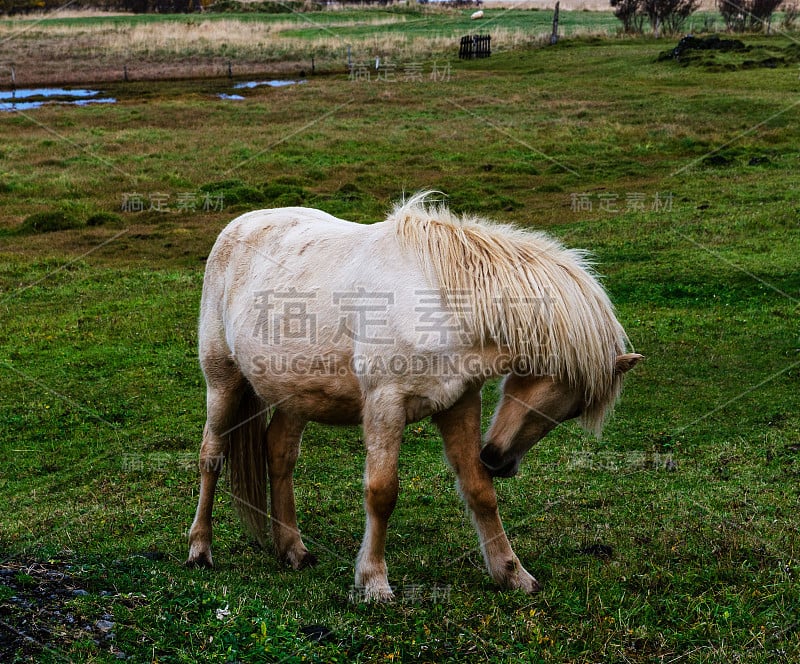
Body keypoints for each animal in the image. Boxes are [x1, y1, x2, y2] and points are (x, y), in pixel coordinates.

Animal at [188, 192, 644, 600]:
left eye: (571, 411)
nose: (499, 460)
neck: (440, 303)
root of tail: (237, 227)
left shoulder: (459, 403)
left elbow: (480, 492)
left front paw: (512, 574)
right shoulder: (385, 405)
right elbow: (382, 492)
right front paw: (374, 581)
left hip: (295, 396)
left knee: (279, 453)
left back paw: (293, 550)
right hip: (223, 382)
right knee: (212, 455)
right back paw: (200, 550)